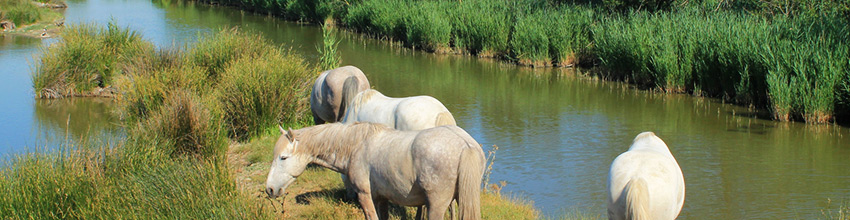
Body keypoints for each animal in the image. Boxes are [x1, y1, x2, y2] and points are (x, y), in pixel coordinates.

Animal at [264, 124, 480, 220]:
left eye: (283, 157)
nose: (270, 189)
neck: (357, 146)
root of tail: (465, 144)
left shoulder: (365, 196)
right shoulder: (382, 198)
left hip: (436, 206)